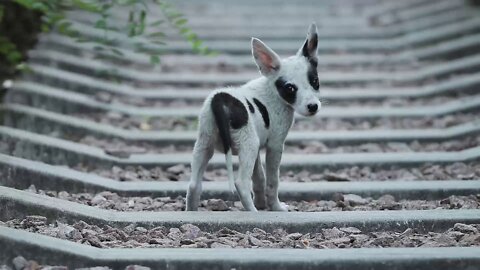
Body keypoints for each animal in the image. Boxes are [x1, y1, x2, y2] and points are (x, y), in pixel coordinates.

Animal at [186, 23, 320, 212]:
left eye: (315, 81)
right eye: (290, 88)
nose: (313, 106)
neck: (273, 90)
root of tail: (220, 99)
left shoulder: (256, 151)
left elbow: (259, 178)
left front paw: (262, 203)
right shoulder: (275, 146)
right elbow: (272, 181)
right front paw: (275, 207)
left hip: (205, 145)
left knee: (193, 185)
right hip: (248, 145)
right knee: (241, 183)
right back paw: (253, 211)